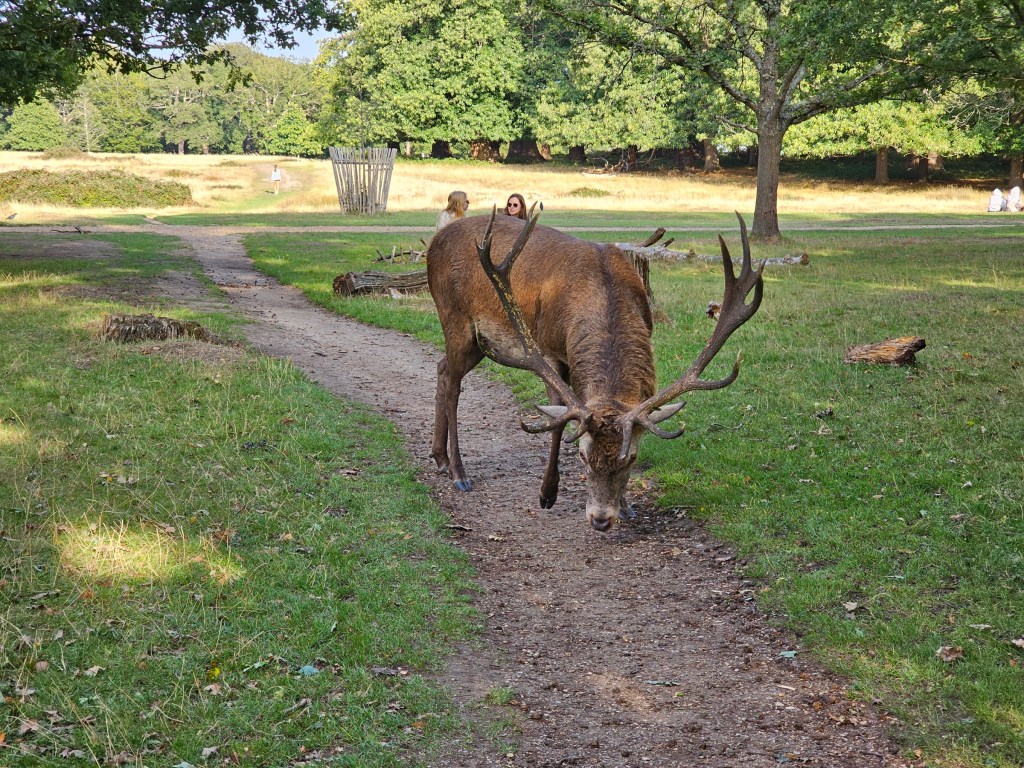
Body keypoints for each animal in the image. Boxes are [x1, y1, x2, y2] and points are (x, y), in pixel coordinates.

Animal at [426, 207, 764, 531]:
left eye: (631, 458)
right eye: (582, 455)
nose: (601, 520)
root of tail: (434, 241)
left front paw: (626, 506)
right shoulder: (547, 351)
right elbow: (558, 418)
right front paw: (547, 493)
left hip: (479, 343)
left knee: (442, 369)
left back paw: (439, 456)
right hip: (454, 316)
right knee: (453, 382)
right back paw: (458, 472)